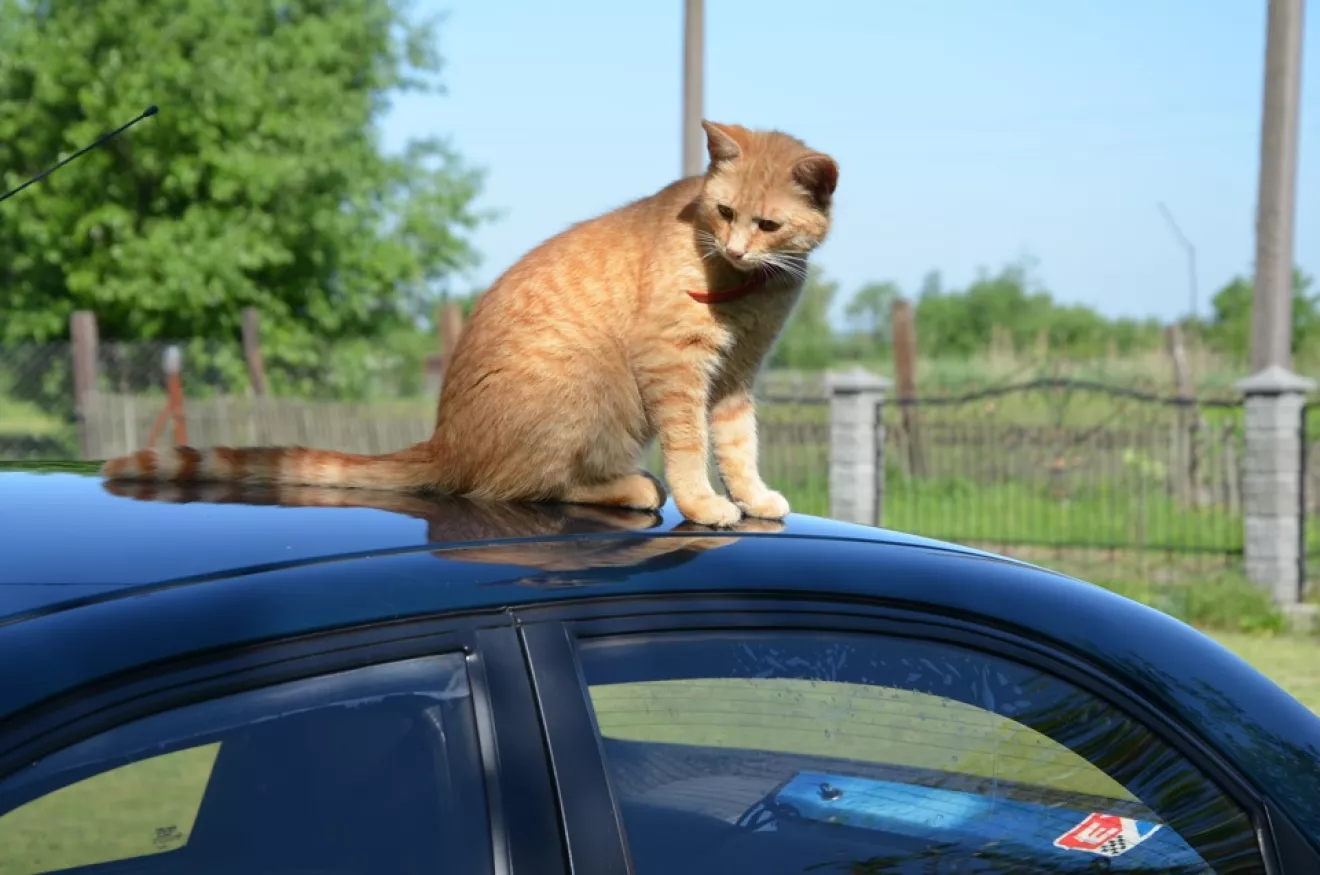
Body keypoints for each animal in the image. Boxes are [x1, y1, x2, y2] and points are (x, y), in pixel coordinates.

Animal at [108, 122, 839, 527]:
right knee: (541, 484)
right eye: (722, 212)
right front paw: (704, 503)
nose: (735, 249)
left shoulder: (737, 377)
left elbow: (739, 446)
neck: (749, 287)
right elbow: (691, 448)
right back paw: (634, 486)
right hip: (589, 398)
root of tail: (443, 441)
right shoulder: (675, 367)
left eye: (767, 224)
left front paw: (752, 496)